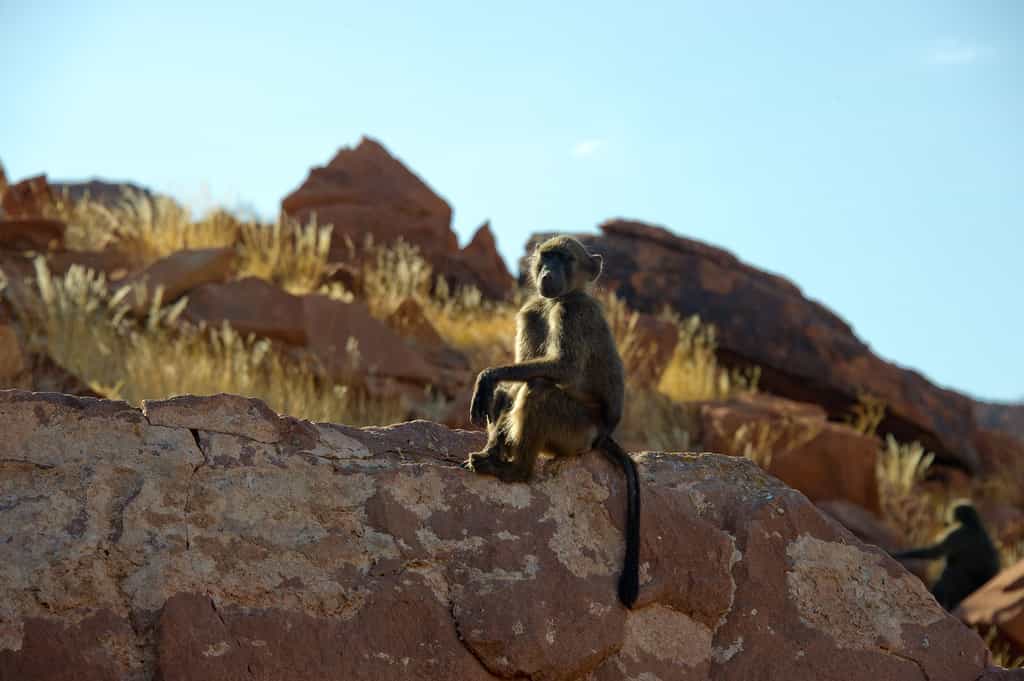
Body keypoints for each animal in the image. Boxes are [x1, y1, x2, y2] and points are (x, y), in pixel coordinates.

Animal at [464, 235, 640, 608]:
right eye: (546, 257)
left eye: (564, 258)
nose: (547, 272)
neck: (558, 299)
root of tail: (603, 434)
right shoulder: (531, 311)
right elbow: (516, 379)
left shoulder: (572, 313)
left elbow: (562, 367)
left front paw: (487, 377)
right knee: (516, 391)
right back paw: (494, 455)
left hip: (576, 433)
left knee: (538, 389)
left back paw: (515, 471)